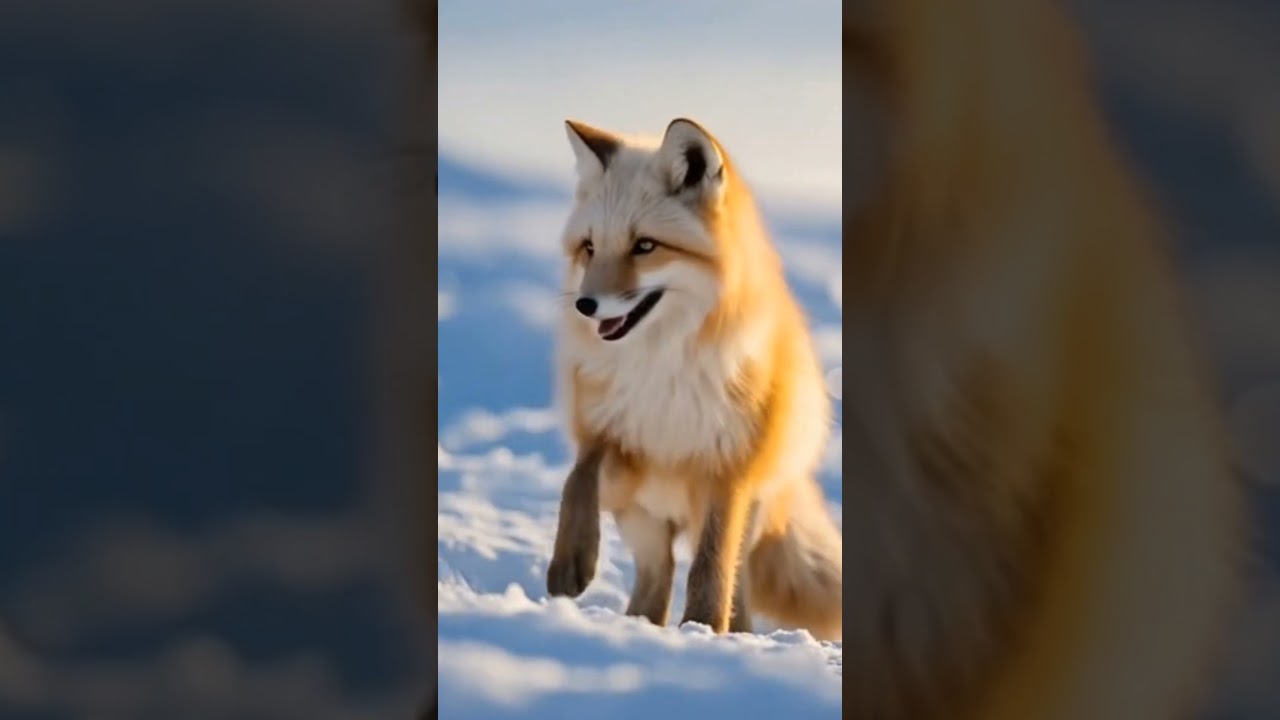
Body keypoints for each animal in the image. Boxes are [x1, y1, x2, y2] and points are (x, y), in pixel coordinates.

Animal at [543, 117, 843, 642]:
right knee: (655, 580)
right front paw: (571, 557)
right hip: (645, 522)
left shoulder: (729, 470)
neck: (664, 365)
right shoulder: (617, 444)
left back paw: (731, 634)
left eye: (645, 246)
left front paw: (702, 626)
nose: (585, 305)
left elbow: (709, 570)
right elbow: (578, 477)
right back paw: (640, 625)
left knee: (734, 581)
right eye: (590, 248)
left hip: (747, 512)